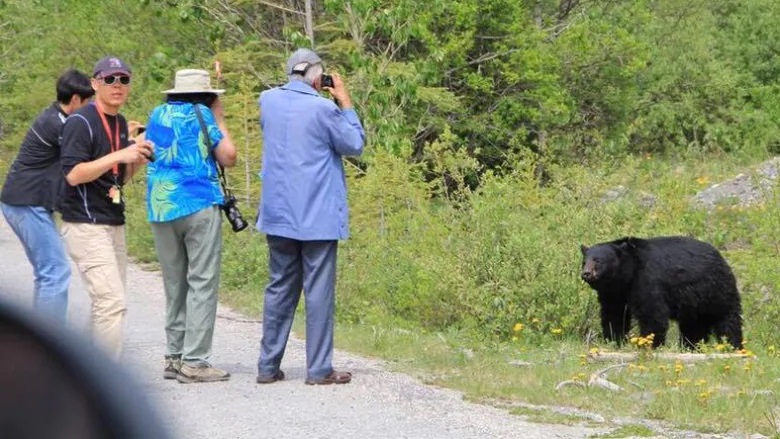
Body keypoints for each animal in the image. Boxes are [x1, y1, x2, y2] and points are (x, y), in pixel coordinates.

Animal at [579, 236, 743, 350]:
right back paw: (691, 347)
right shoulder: (614, 294)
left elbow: (653, 315)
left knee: (728, 319)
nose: (586, 273)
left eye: (598, 261)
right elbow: (614, 315)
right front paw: (614, 340)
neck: (627, 276)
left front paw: (648, 344)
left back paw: (733, 346)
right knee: (694, 326)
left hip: (716, 290)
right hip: (693, 304)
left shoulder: (647, 280)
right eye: (584, 262)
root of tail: (721, 257)